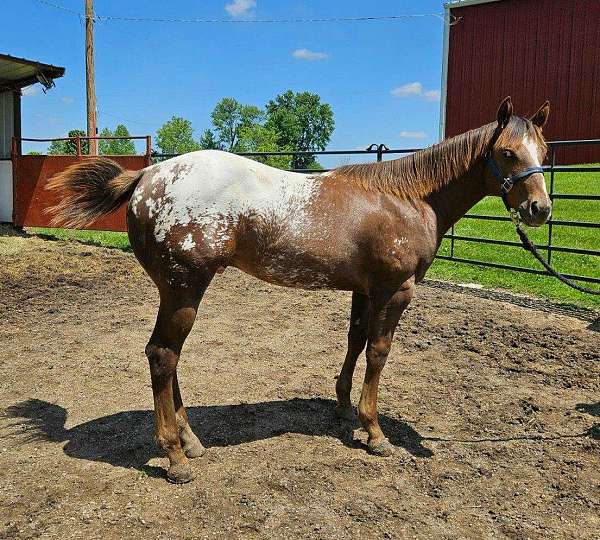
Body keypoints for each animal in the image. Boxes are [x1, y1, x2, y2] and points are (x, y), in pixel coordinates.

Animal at [48, 98, 552, 486]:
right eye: (507, 153)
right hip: (183, 289)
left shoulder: (364, 289)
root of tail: (147, 178)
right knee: (162, 356)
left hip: (176, 293)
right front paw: (375, 433)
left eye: (543, 150)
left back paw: (191, 443)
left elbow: (355, 342)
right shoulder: (395, 291)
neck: (406, 199)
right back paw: (175, 457)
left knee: (168, 359)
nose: (539, 209)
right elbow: (379, 352)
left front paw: (345, 408)